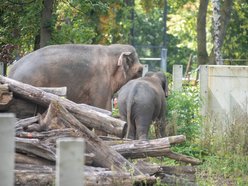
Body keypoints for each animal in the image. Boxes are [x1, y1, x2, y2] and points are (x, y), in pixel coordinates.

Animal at [8, 44, 143, 110]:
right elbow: (102, 107)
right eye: (139, 70)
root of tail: (11, 72)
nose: (142, 69)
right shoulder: (100, 80)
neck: (109, 50)